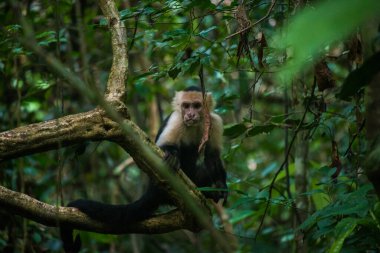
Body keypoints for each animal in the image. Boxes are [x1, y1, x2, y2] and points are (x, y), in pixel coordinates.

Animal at [62, 86, 227, 252]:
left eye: (197, 106)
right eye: (186, 106)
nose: (190, 114)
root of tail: (151, 190)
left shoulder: (214, 121)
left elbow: (212, 157)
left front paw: (221, 187)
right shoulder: (176, 119)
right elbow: (160, 149)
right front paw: (172, 155)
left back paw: (209, 193)